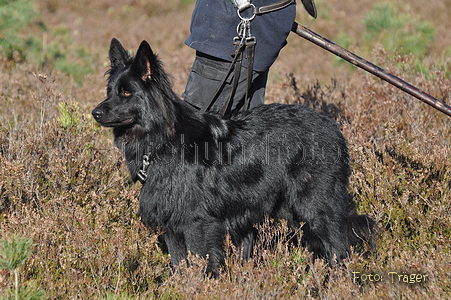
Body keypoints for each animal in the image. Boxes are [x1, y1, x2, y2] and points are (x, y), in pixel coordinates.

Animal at [92, 38, 374, 278]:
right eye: (110, 91)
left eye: (126, 93)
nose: (95, 112)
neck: (162, 140)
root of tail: (332, 127)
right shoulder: (171, 223)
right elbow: (179, 264)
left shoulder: (197, 223)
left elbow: (200, 263)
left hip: (314, 206)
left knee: (338, 249)